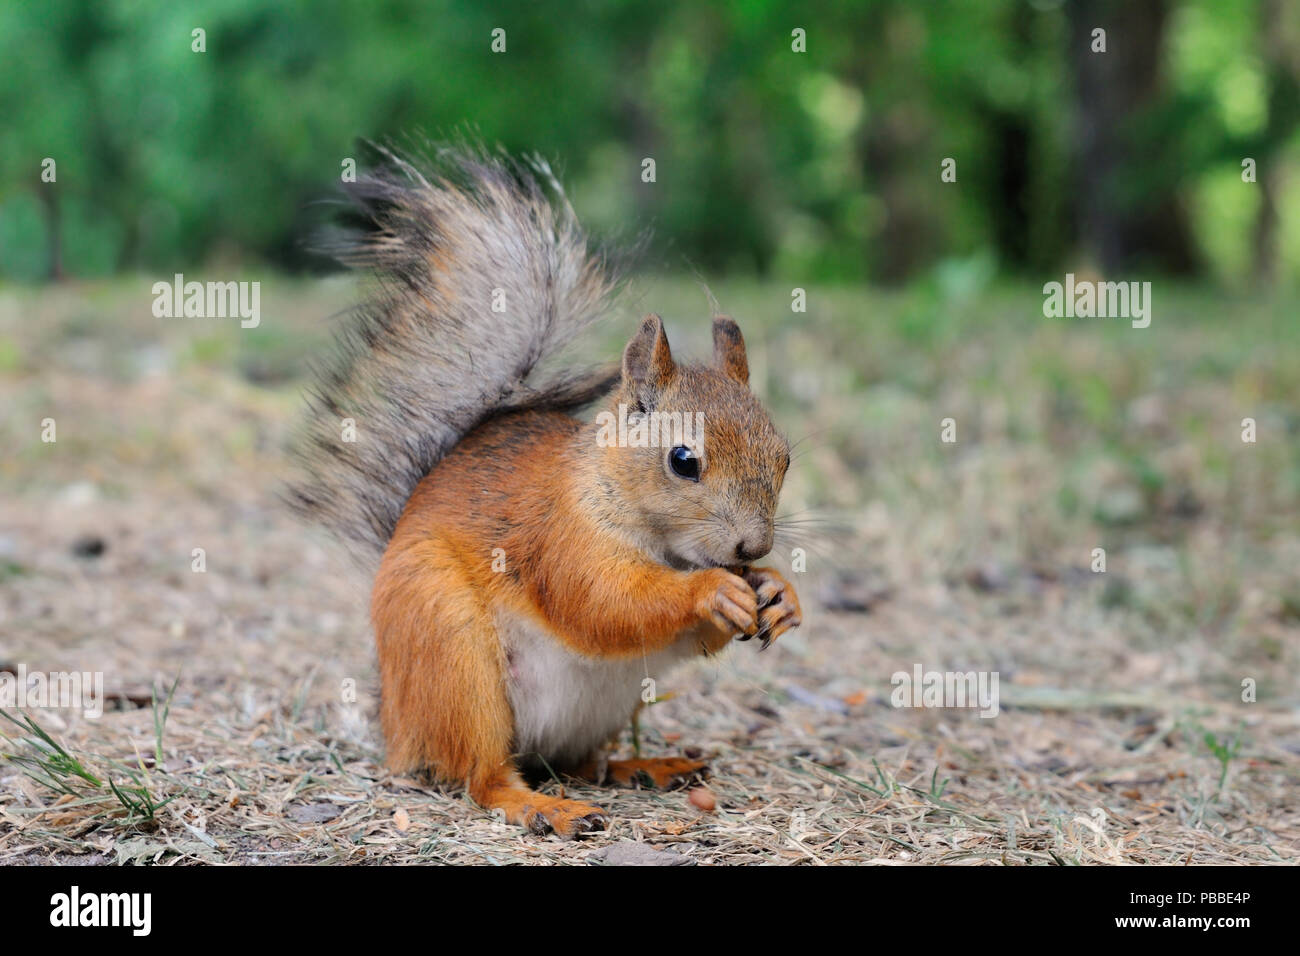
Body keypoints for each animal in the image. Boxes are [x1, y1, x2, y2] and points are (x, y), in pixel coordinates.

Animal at [292, 143, 800, 837]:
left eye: (784, 458)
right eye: (683, 460)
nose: (753, 549)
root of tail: (395, 718)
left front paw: (779, 593)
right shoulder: (561, 535)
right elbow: (604, 603)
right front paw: (711, 590)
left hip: (602, 706)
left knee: (579, 762)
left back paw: (645, 768)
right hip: (452, 652)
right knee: (483, 774)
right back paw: (540, 806)